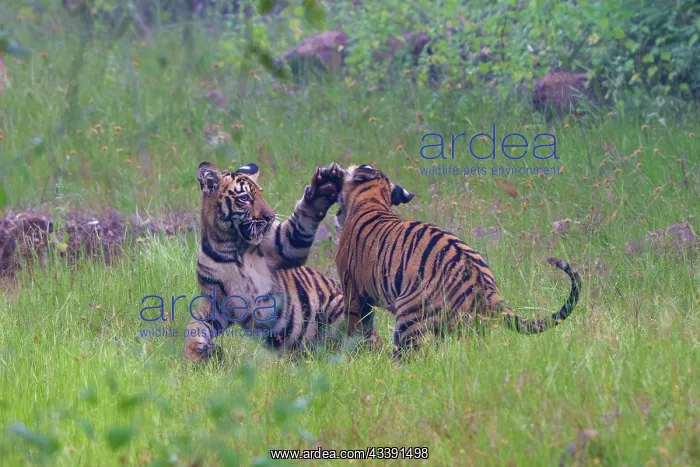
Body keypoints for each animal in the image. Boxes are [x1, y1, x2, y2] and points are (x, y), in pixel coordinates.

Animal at [183, 161, 346, 362]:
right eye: (245, 198)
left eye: (261, 194)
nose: (270, 217)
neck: (229, 247)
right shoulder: (217, 301)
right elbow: (195, 327)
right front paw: (197, 354)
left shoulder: (286, 245)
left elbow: (303, 219)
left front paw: (323, 186)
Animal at [333, 164, 582, 360]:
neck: (372, 200)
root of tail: (486, 285)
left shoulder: (353, 291)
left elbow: (354, 328)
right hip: (472, 329)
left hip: (409, 320)